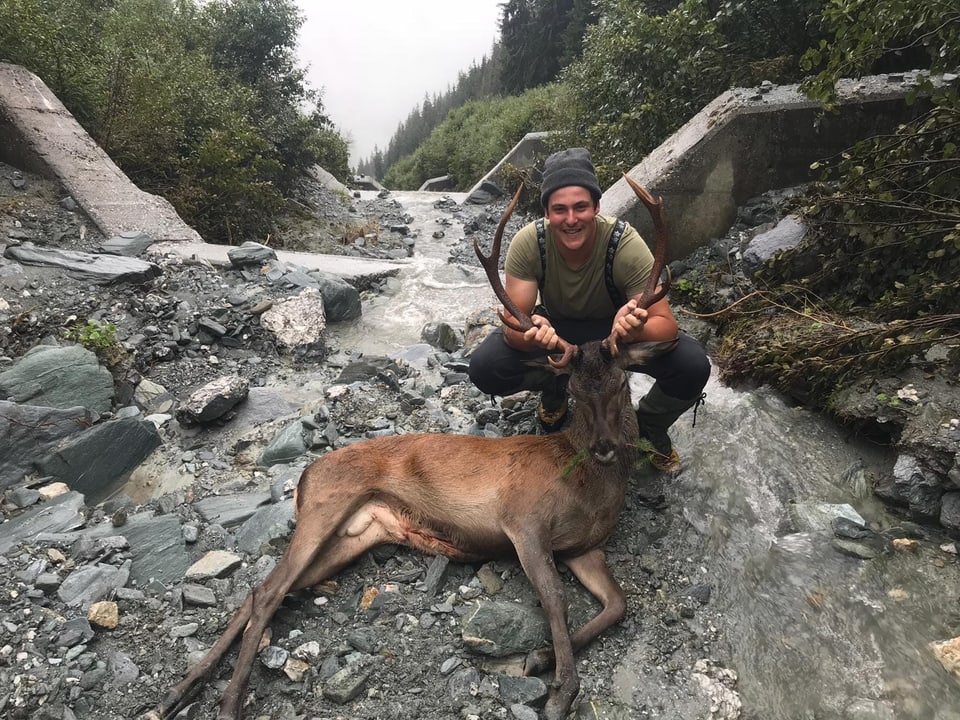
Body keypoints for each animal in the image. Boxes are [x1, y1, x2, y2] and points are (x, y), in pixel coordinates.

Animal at [158, 174, 676, 720]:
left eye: (621, 384)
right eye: (574, 390)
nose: (603, 447)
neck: (588, 491)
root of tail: (304, 476)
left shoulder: (585, 547)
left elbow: (618, 603)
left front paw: (539, 658)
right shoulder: (522, 519)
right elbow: (555, 598)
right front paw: (561, 691)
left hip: (355, 535)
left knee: (262, 591)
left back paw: (181, 689)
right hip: (327, 503)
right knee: (267, 590)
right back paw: (228, 701)